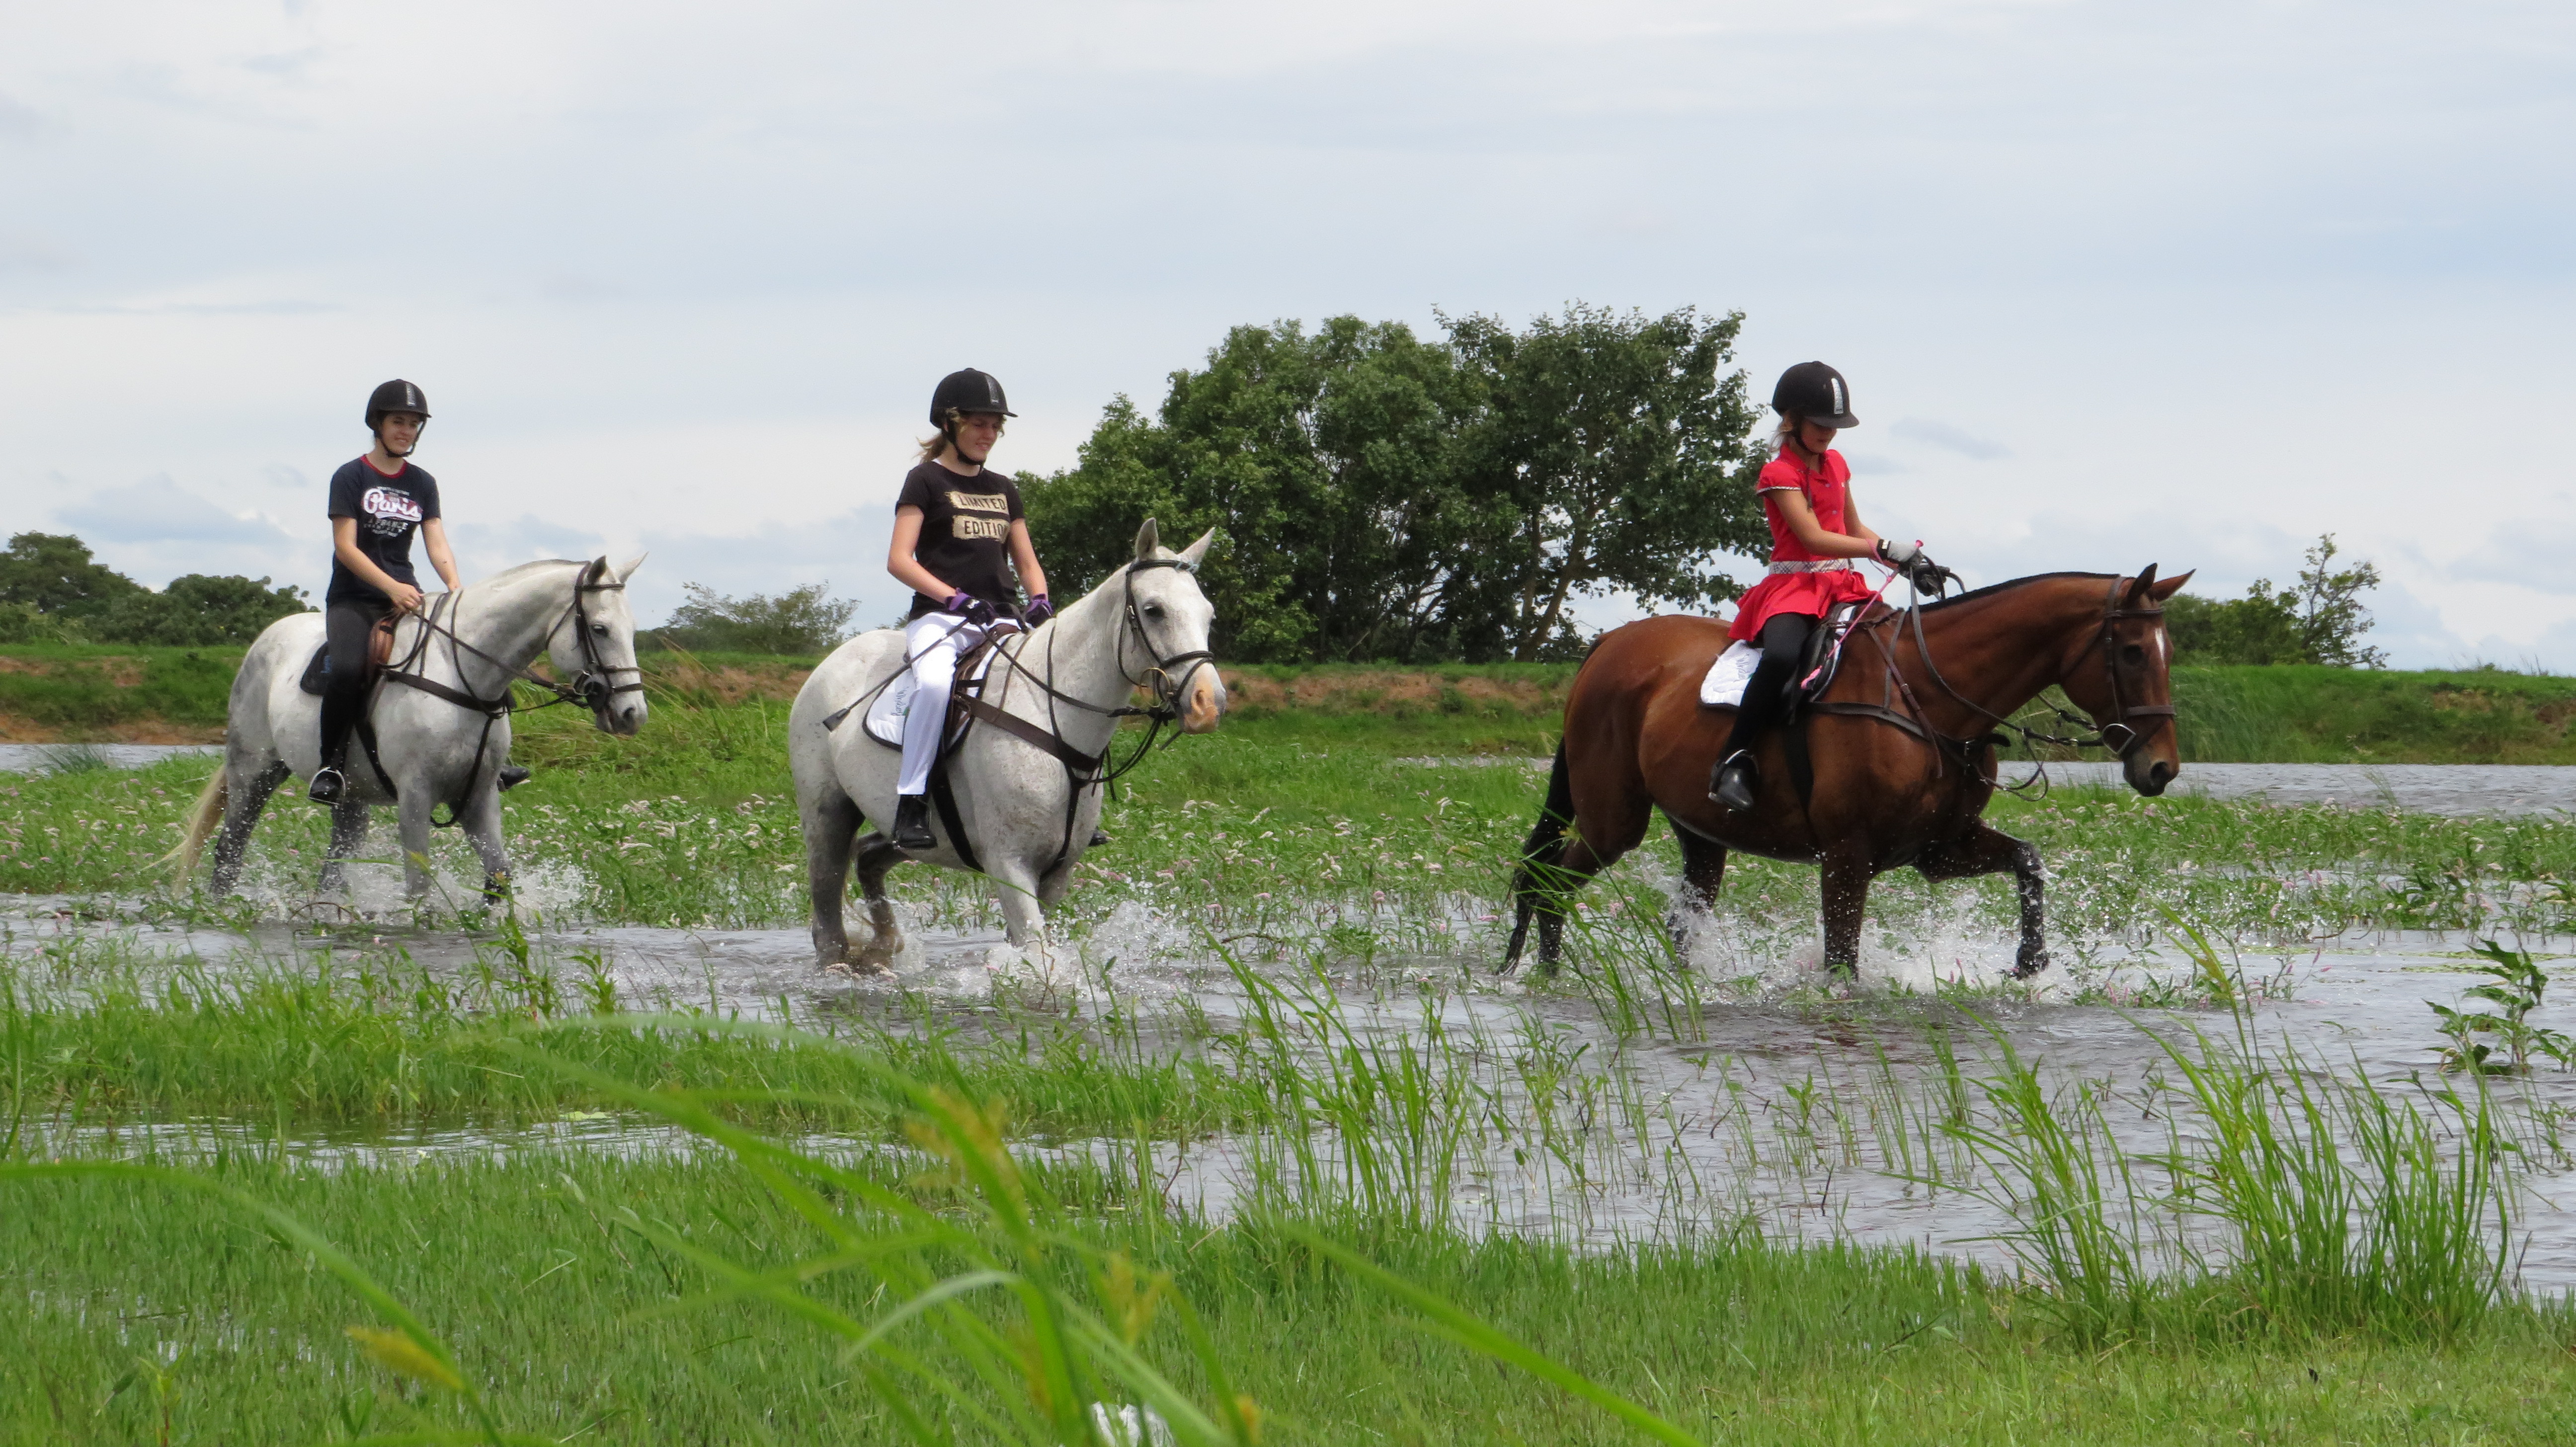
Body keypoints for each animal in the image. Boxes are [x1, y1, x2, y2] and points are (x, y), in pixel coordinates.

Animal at [171, 554, 649, 901]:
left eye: (632, 629)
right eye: (600, 629)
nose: (633, 715)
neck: (462, 673)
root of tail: (264, 641)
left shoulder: (479, 796)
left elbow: (498, 876)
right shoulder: (416, 795)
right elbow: (419, 884)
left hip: (350, 797)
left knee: (335, 864)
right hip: (255, 772)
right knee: (230, 847)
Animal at [788, 517, 1221, 968]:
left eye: (1209, 614)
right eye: (1154, 610)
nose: (1208, 705)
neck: (1051, 717)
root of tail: (833, 661)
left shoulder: (1056, 872)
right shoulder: (1010, 864)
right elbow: (1039, 958)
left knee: (869, 857)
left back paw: (885, 946)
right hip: (827, 815)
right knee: (828, 916)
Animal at [1504, 569, 2194, 973]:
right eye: (2134, 652)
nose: (2161, 767)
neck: (1929, 696)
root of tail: (1607, 645)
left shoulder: (1940, 848)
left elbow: (2028, 859)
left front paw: (2031, 957)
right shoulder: (1847, 854)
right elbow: (1842, 958)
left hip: (1699, 830)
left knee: (1678, 915)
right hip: (1613, 819)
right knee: (1549, 884)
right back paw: (1546, 976)